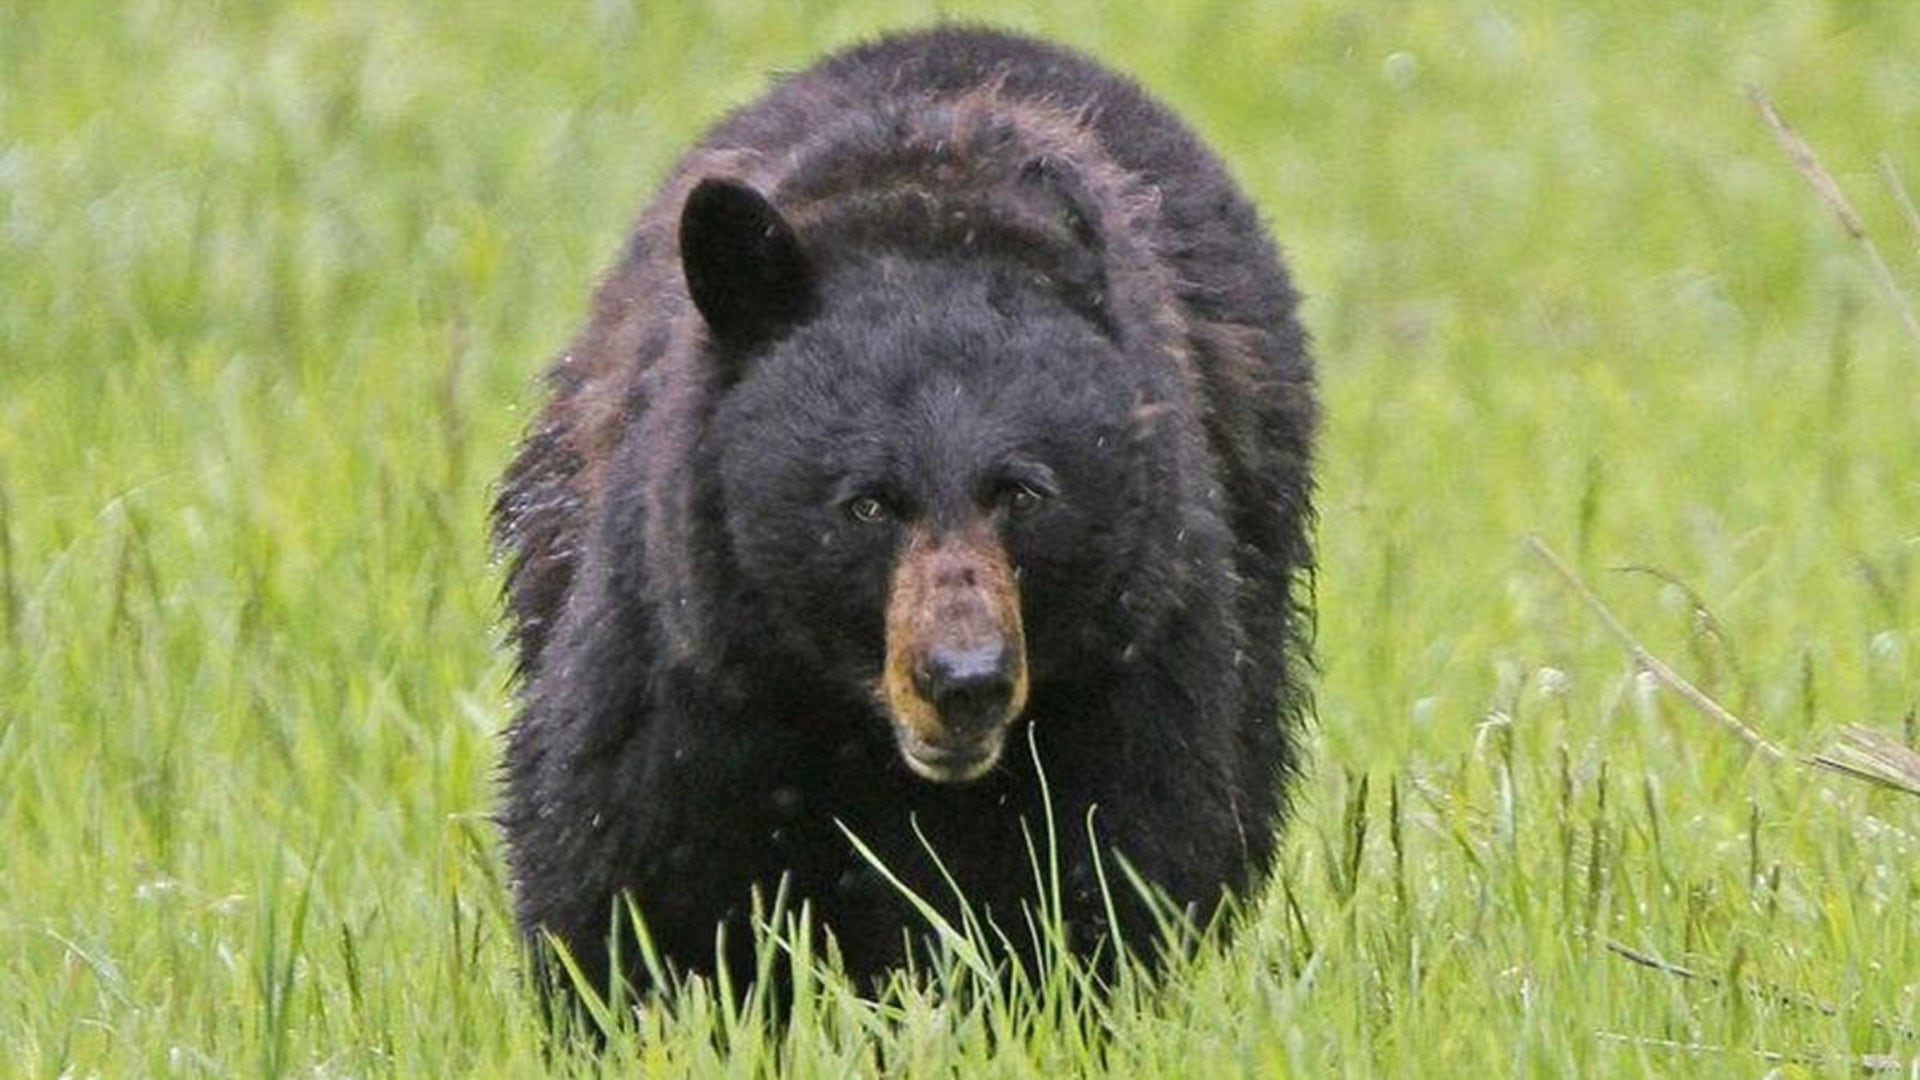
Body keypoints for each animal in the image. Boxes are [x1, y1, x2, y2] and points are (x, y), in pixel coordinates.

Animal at [492, 26, 1317, 1003]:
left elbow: (1115, 864)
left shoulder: (1134, 643)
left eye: (1022, 493)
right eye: (866, 504)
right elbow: (630, 860)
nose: (964, 681)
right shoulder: (695, 642)